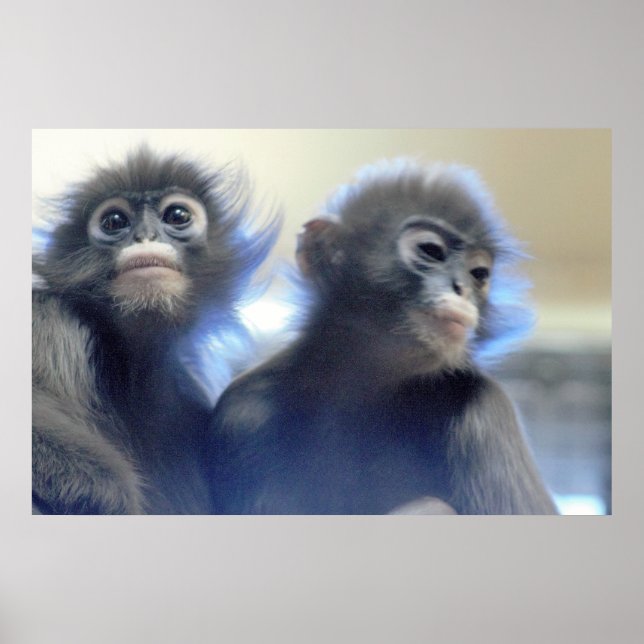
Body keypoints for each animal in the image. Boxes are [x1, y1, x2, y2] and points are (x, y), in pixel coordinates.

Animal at [206, 159, 557, 514]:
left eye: (479, 275)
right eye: (431, 251)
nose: (461, 288)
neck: (363, 386)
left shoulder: (485, 405)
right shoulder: (243, 409)